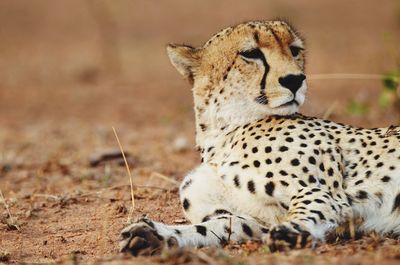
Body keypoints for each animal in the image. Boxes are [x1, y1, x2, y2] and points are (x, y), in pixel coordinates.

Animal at [119, 19, 400, 255]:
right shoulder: (256, 220)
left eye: (294, 50)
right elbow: (213, 227)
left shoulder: (325, 192)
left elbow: (311, 203)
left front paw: (293, 230)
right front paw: (154, 234)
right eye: (251, 53)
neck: (222, 135)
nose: (295, 80)